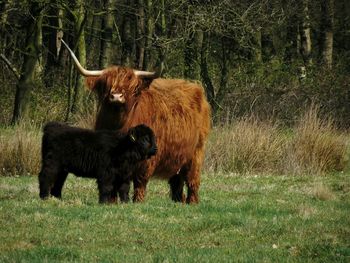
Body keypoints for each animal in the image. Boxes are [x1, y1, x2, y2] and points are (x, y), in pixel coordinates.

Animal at [60, 39, 211, 204]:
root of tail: (196, 88)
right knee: (177, 182)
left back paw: (192, 201)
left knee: (192, 180)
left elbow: (140, 180)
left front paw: (138, 200)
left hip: (196, 152)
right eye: (107, 84)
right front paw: (112, 201)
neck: (119, 125)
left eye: (130, 86)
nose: (116, 96)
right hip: (177, 157)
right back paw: (179, 201)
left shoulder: (148, 157)